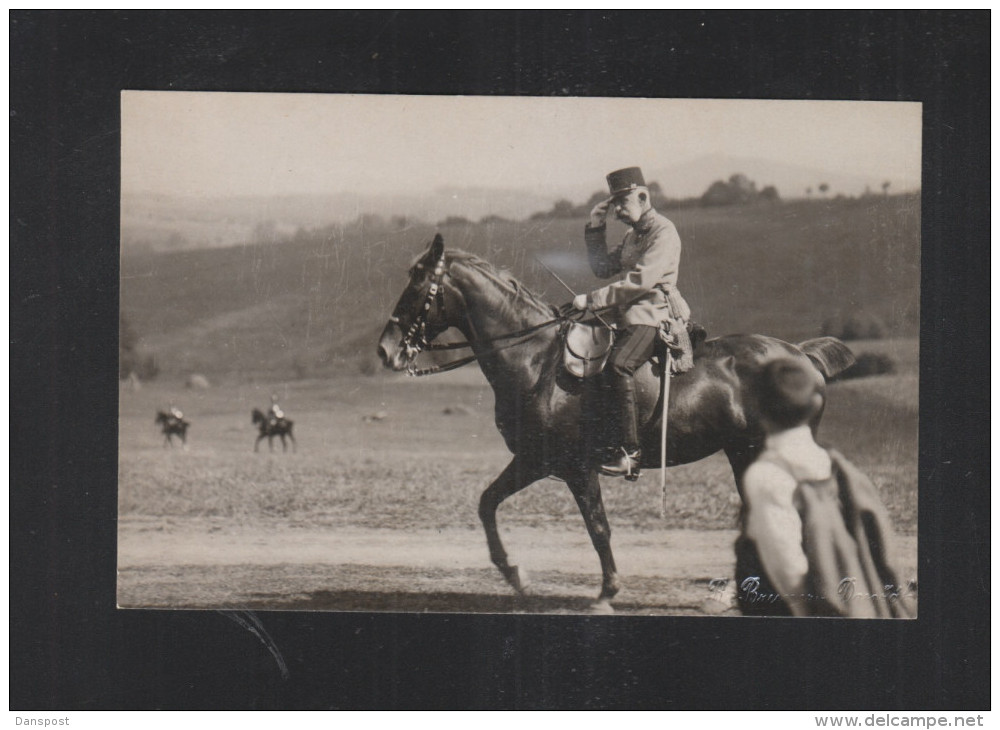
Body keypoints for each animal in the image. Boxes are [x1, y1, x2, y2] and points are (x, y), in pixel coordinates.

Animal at [376, 235, 852, 608]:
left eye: (420, 284)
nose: (386, 349)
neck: (536, 360)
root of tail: (800, 353)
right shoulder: (535, 461)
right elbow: (487, 502)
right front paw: (515, 574)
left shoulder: (575, 468)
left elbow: (598, 527)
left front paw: (608, 591)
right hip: (743, 454)